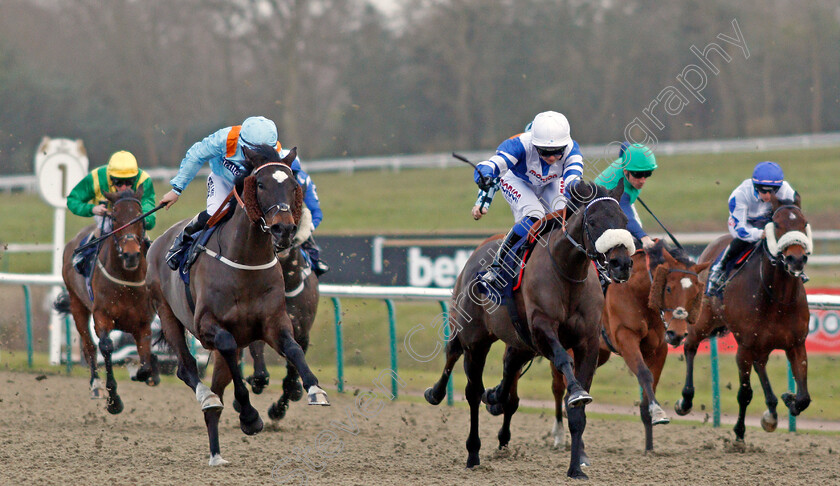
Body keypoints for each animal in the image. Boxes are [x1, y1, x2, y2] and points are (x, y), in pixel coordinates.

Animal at [58, 188, 159, 416]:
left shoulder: (143, 322)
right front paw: (114, 401)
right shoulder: (102, 316)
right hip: (77, 305)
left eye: (140, 217)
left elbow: (146, 361)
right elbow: (105, 346)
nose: (131, 255)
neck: (127, 281)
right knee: (88, 347)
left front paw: (146, 372)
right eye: (114, 218)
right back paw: (96, 386)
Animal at [144, 145, 328, 468]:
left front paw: (313, 389)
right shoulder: (209, 327)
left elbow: (293, 350)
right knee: (187, 368)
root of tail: (158, 242)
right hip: (166, 311)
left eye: (294, 186)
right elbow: (232, 351)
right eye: (260, 184)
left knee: (217, 389)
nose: (283, 229)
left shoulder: (275, 322)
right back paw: (208, 399)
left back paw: (216, 453)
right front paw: (250, 415)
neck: (246, 263)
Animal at [424, 181, 632, 478]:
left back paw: (493, 397)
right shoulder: (542, 329)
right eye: (592, 221)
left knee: (503, 377)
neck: (568, 274)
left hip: (518, 343)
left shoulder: (588, 343)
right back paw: (470, 448)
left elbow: (577, 411)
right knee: (469, 384)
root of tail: (478, 251)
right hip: (474, 339)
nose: (621, 264)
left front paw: (575, 468)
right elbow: (563, 359)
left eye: (624, 221)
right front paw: (575, 391)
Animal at [552, 241, 708, 454]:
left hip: (599, 353)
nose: (677, 334)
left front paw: (649, 447)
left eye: (695, 294)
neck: (637, 293)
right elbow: (643, 374)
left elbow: (650, 386)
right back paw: (561, 436)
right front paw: (658, 411)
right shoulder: (626, 337)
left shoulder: (659, 348)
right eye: (668, 288)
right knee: (560, 386)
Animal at [676, 196, 812, 442]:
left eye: (804, 223)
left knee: (761, 364)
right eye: (777, 224)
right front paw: (739, 432)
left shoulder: (796, 344)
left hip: (762, 344)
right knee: (690, 347)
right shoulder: (745, 347)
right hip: (704, 321)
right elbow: (745, 393)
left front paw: (788, 399)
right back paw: (685, 400)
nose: (796, 259)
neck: (777, 298)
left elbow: (804, 397)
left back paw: (772, 410)